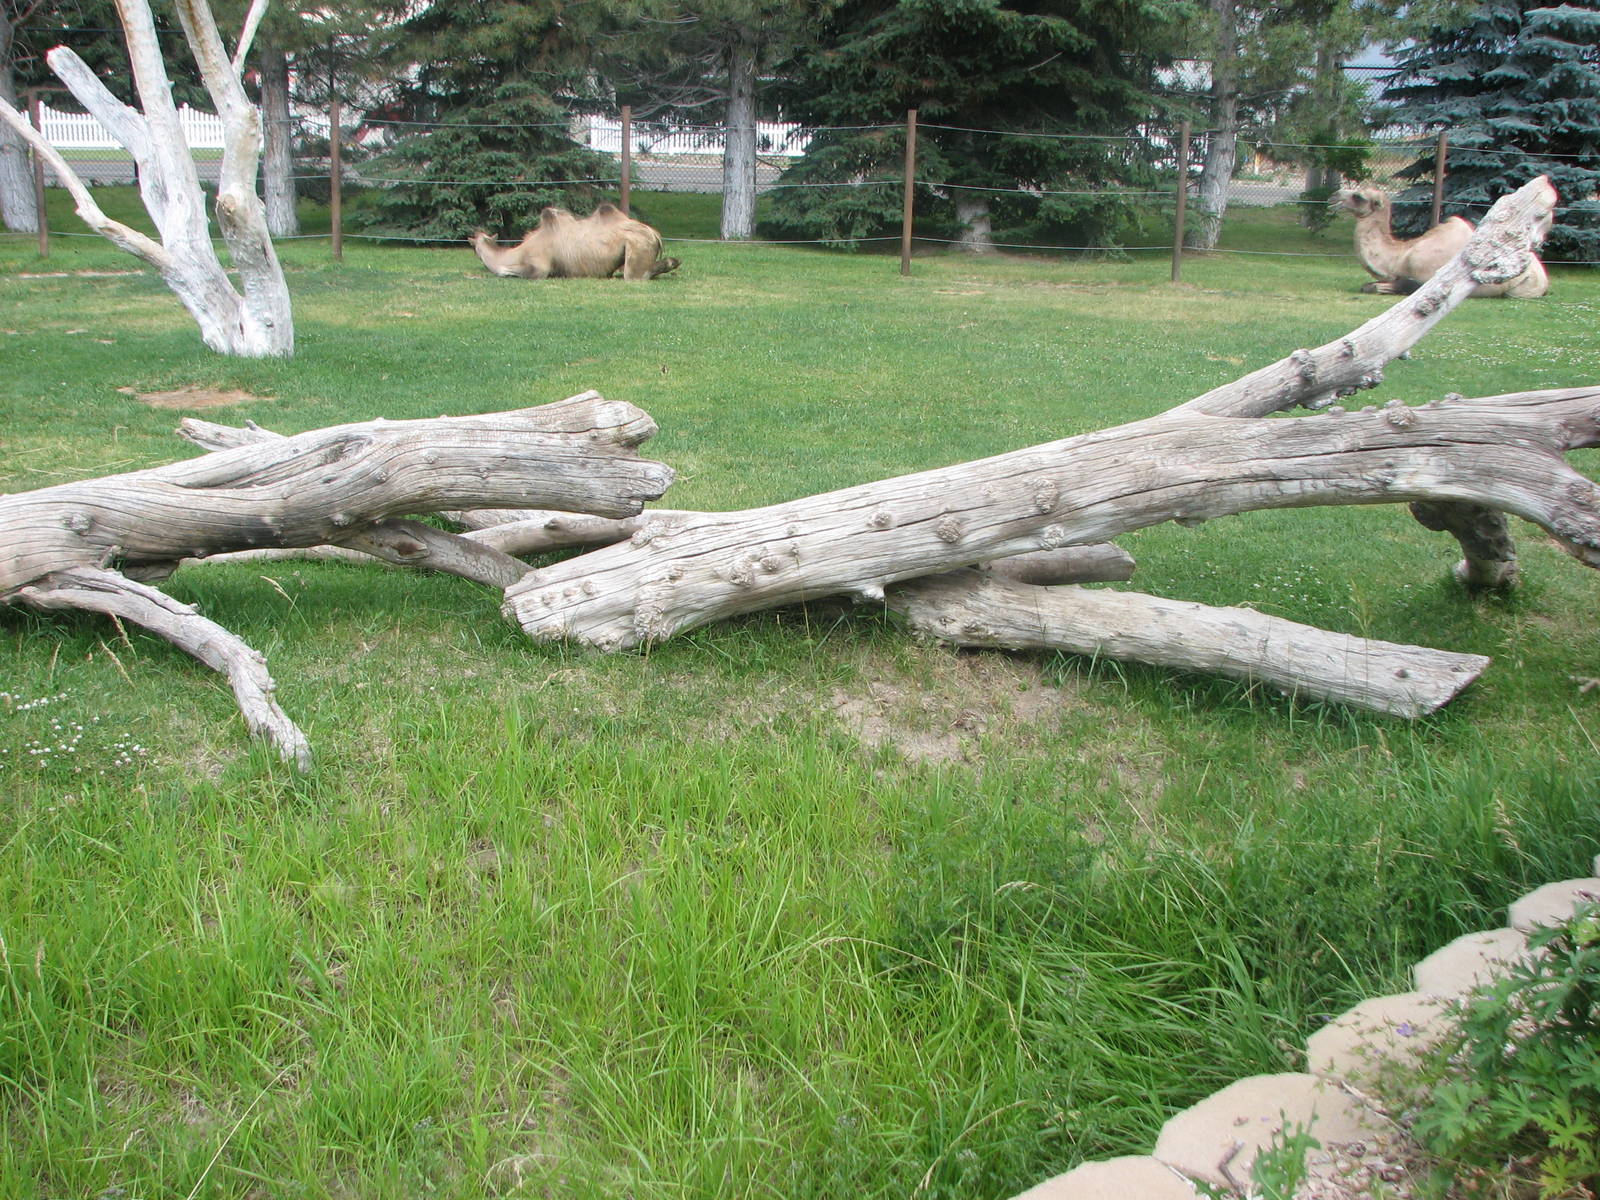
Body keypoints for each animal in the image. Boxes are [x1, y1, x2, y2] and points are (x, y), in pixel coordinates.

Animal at [470, 203, 681, 281]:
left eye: (475, 249)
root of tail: (655, 234)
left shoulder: (539, 267)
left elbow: (504, 270)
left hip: (636, 245)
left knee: (635, 275)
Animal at [1333, 185, 1549, 297]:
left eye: (1358, 196)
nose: (1334, 195)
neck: (1400, 256)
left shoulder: (1424, 279)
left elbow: (1392, 286)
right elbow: (1368, 285)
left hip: (1524, 288)